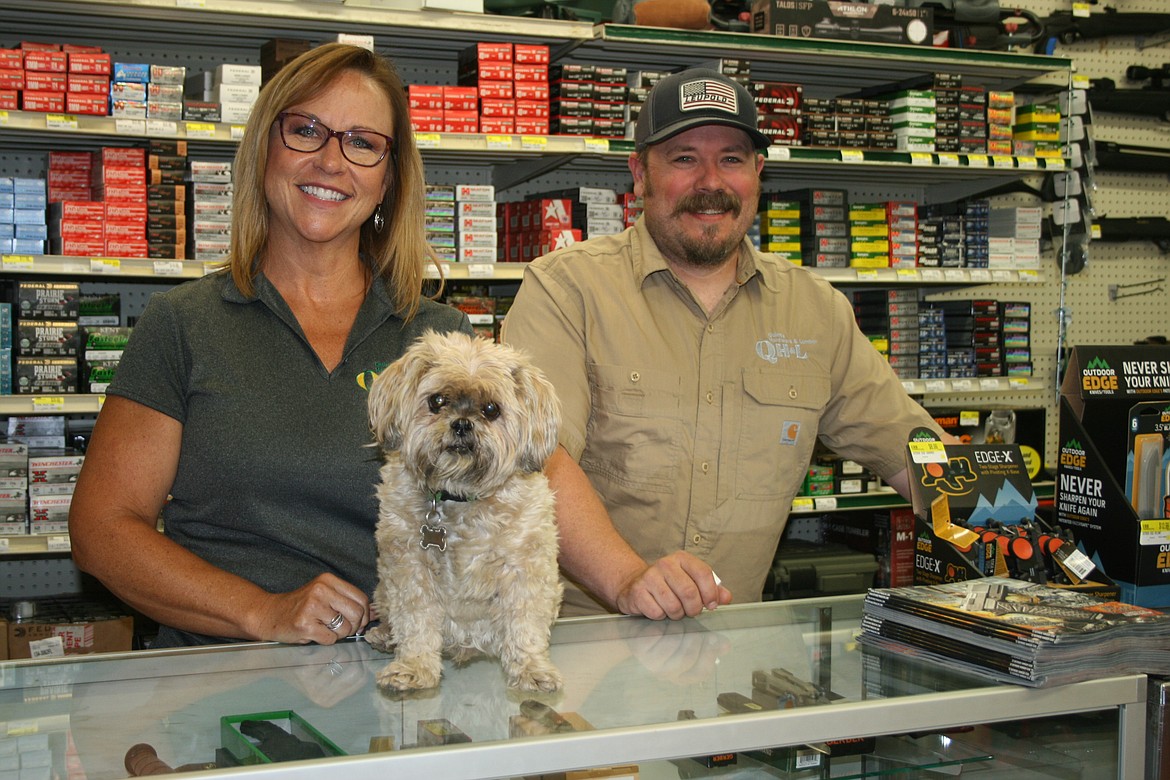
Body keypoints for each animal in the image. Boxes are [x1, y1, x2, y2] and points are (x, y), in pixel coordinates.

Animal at [365, 332, 566, 692]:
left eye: (491, 409)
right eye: (437, 401)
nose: (461, 424)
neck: (459, 496)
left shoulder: (525, 568)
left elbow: (524, 622)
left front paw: (531, 668)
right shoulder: (409, 567)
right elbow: (415, 620)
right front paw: (414, 666)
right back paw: (385, 635)